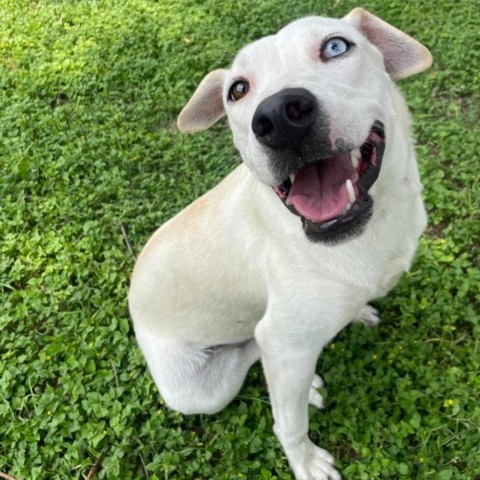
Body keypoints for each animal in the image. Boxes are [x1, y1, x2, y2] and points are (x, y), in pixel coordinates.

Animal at [129, 8, 434, 480]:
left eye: (336, 46)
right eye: (238, 90)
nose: (279, 115)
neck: (373, 227)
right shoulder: (284, 341)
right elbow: (289, 423)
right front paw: (305, 462)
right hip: (199, 392)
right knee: (253, 350)